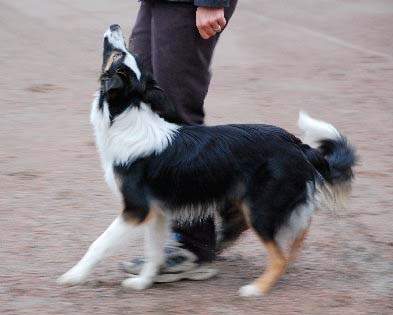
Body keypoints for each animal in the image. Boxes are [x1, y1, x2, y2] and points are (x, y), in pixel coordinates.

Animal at [57, 25, 356, 298]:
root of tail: (299, 146)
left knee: (279, 254)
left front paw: (73, 276)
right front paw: (143, 282)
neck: (125, 114)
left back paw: (256, 289)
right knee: (296, 231)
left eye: (119, 54)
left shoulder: (137, 209)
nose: (115, 27)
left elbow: (99, 244)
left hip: (259, 207)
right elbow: (153, 250)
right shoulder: (158, 210)